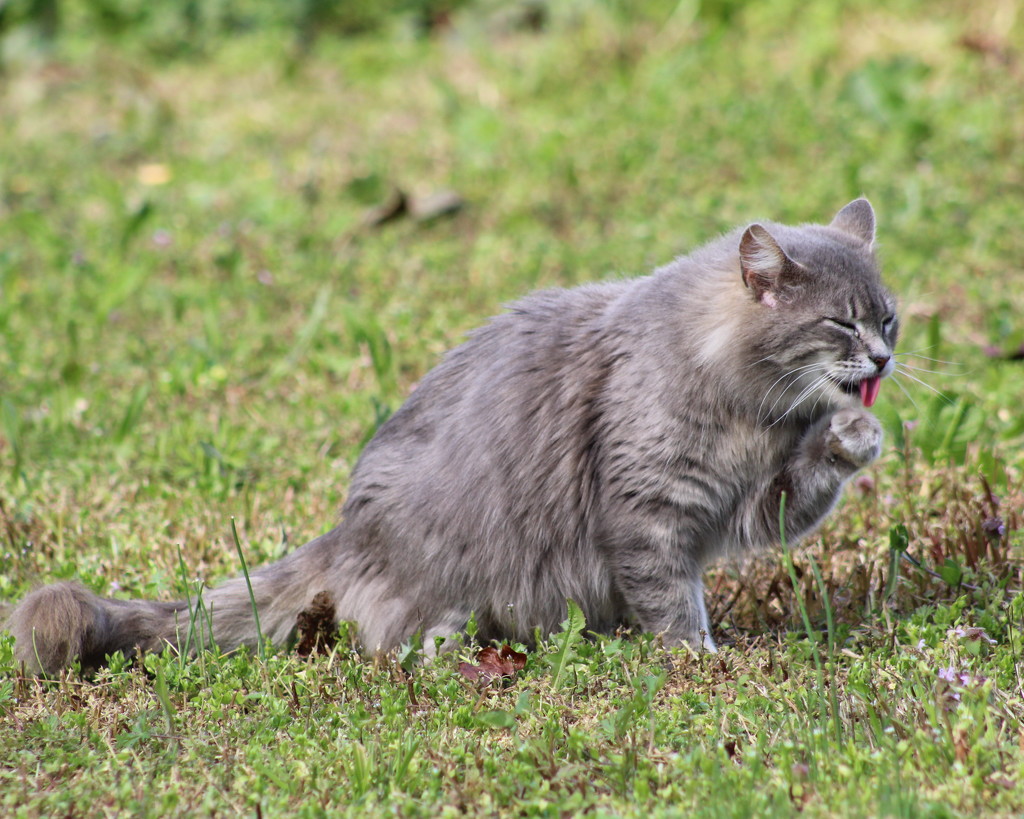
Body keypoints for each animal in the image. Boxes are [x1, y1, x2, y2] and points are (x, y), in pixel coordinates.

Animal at [6, 198, 897, 671]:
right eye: (840, 324)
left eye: (888, 318)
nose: (886, 357)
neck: (750, 411)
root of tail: (345, 531)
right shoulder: (648, 512)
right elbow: (671, 603)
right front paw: (697, 659)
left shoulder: (749, 500)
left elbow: (803, 485)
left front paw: (857, 434)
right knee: (395, 638)